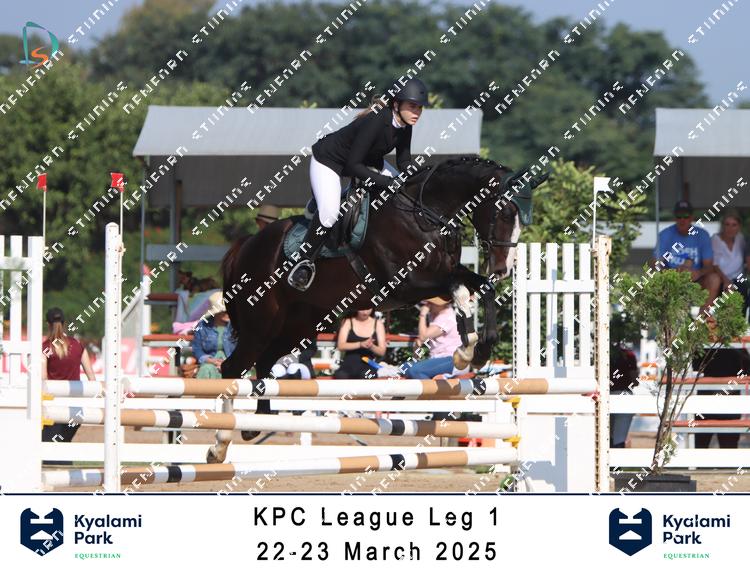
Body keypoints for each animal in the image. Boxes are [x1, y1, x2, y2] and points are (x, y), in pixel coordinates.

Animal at [206, 156, 547, 463]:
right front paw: (466, 348)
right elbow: (458, 290)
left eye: (525, 219)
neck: (427, 215)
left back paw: (256, 424)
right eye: (505, 213)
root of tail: (246, 245)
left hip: (299, 323)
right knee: (233, 367)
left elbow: (481, 288)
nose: (503, 269)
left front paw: (476, 351)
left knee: (264, 362)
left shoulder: (444, 275)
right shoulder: (403, 285)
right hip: (262, 321)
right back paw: (221, 444)